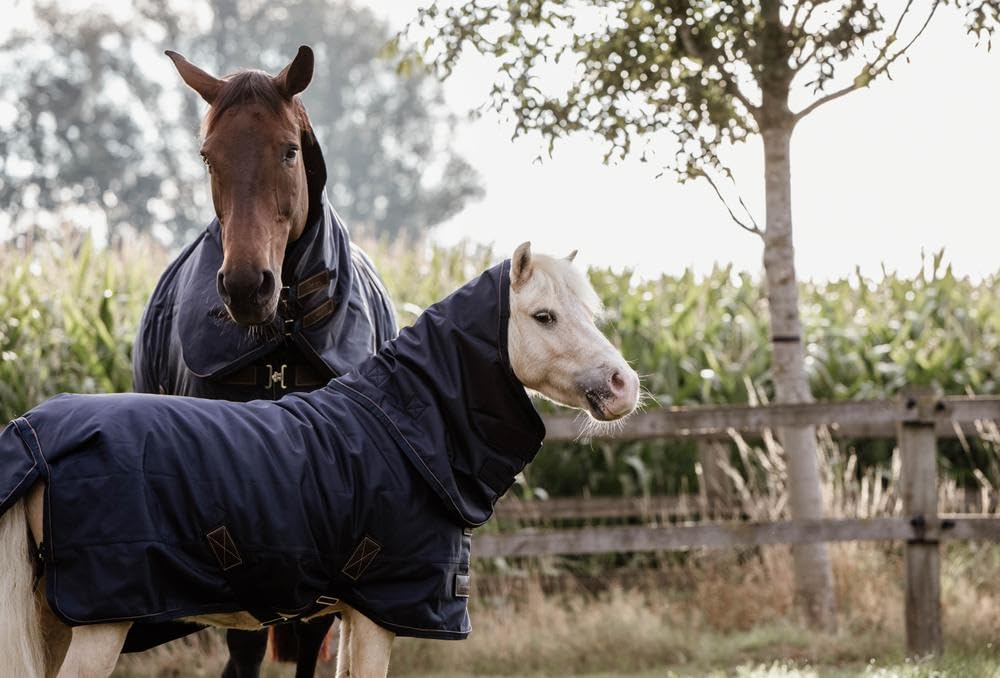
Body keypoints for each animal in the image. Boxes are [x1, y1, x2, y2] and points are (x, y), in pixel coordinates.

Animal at [0, 242, 640, 678]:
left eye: (590, 316)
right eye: (544, 316)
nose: (624, 385)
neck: (404, 426)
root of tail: (36, 437)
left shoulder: (351, 617)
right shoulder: (382, 614)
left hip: (53, 621)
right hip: (97, 626)